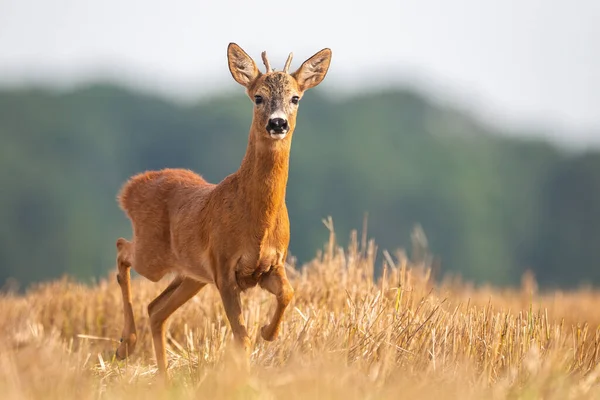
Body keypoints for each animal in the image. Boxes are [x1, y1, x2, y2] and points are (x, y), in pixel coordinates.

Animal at [112, 43, 332, 376]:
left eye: (295, 97)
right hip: (155, 257)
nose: (277, 123)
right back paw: (125, 345)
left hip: (192, 274)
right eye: (258, 97)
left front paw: (269, 332)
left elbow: (288, 294)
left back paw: (163, 377)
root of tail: (131, 188)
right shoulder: (225, 267)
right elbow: (242, 337)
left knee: (155, 309)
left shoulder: (271, 265)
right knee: (123, 249)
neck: (258, 224)